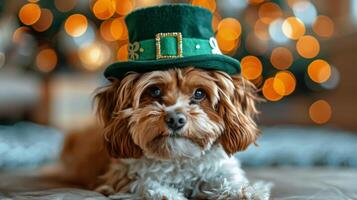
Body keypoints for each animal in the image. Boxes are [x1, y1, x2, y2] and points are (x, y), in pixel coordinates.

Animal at [59, 66, 268, 199]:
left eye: (199, 93)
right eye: (155, 91)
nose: (175, 119)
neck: (178, 159)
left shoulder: (220, 170)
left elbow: (228, 180)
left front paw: (247, 191)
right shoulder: (121, 177)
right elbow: (147, 184)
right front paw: (168, 194)